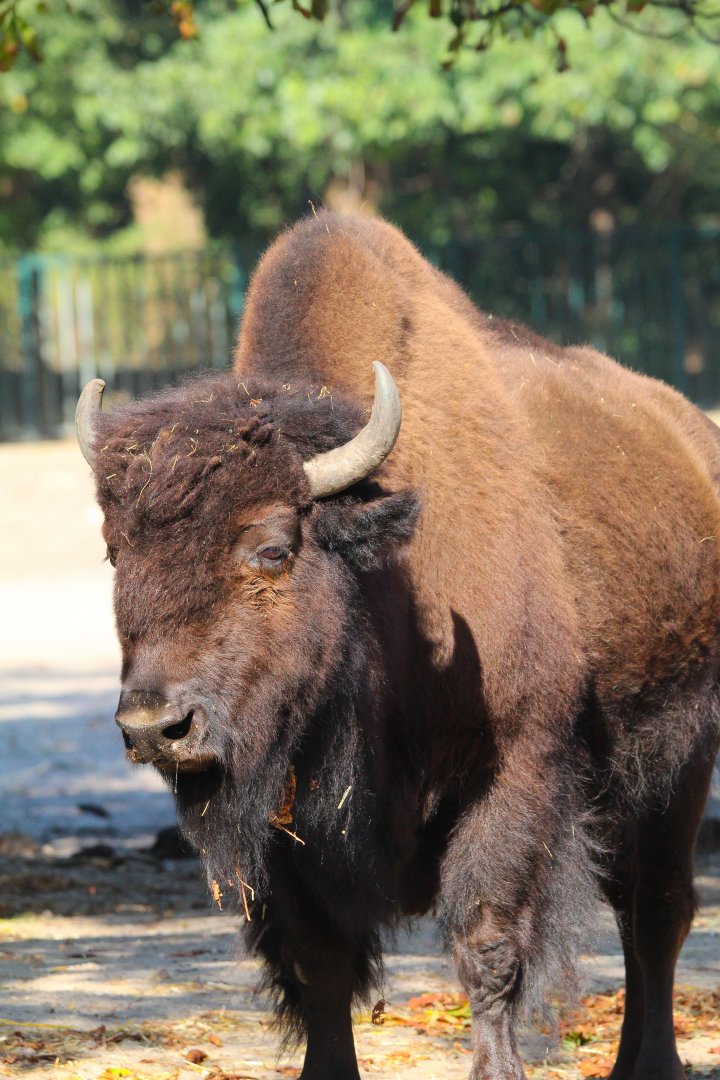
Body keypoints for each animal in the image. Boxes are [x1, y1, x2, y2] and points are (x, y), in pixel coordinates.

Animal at [77, 212, 720, 1080]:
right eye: (117, 553)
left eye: (274, 548)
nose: (156, 728)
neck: (384, 579)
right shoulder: (290, 826)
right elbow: (320, 960)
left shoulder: (512, 769)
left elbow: (488, 943)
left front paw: (497, 1069)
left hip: (679, 760)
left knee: (654, 909)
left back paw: (649, 1062)